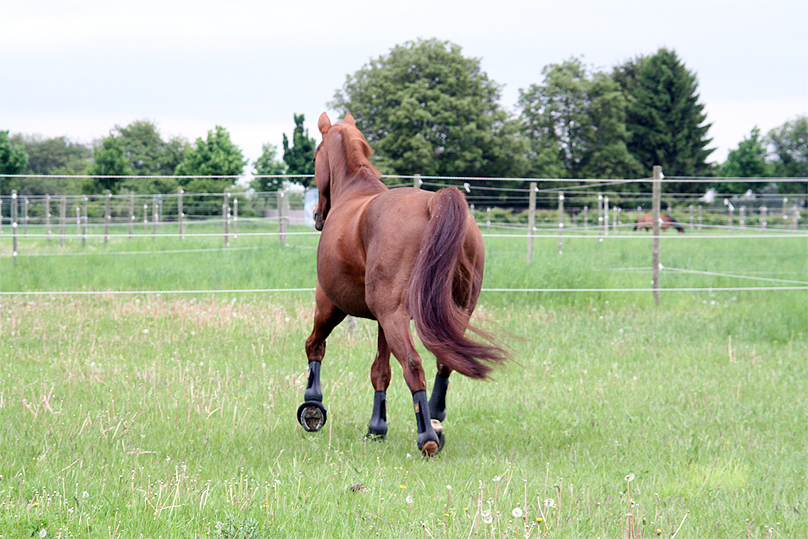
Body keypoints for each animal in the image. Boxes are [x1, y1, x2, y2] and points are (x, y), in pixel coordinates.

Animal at [295, 112, 506, 457]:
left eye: (315, 157)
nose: (316, 215)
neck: (353, 191)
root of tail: (434, 203)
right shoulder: (383, 319)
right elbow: (381, 371)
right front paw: (376, 428)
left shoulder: (330, 304)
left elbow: (315, 346)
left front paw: (312, 406)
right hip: (456, 311)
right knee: (444, 362)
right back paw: (435, 418)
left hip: (384, 315)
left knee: (413, 364)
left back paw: (427, 437)